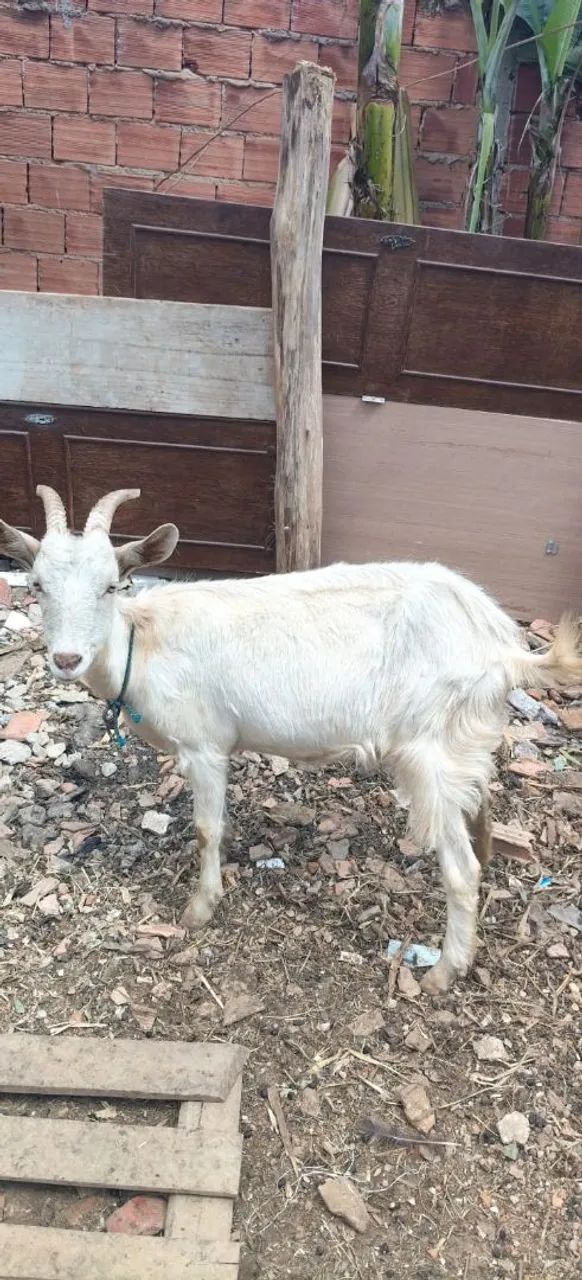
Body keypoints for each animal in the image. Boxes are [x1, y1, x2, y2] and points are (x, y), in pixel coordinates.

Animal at [2, 486, 581, 994]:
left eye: (110, 585)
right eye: (37, 585)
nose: (67, 659)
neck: (142, 641)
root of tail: (501, 645)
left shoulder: (204, 746)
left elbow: (206, 829)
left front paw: (199, 908)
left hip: (429, 748)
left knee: (461, 870)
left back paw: (443, 971)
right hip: (464, 739)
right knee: (480, 810)